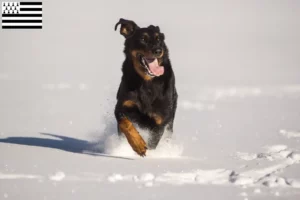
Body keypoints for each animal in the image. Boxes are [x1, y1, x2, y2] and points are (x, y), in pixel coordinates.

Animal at [113, 18, 177, 156]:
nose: (158, 50)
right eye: (143, 39)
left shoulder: (161, 120)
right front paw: (138, 145)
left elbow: (153, 142)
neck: (146, 82)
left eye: (159, 39)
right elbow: (125, 124)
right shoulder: (121, 106)